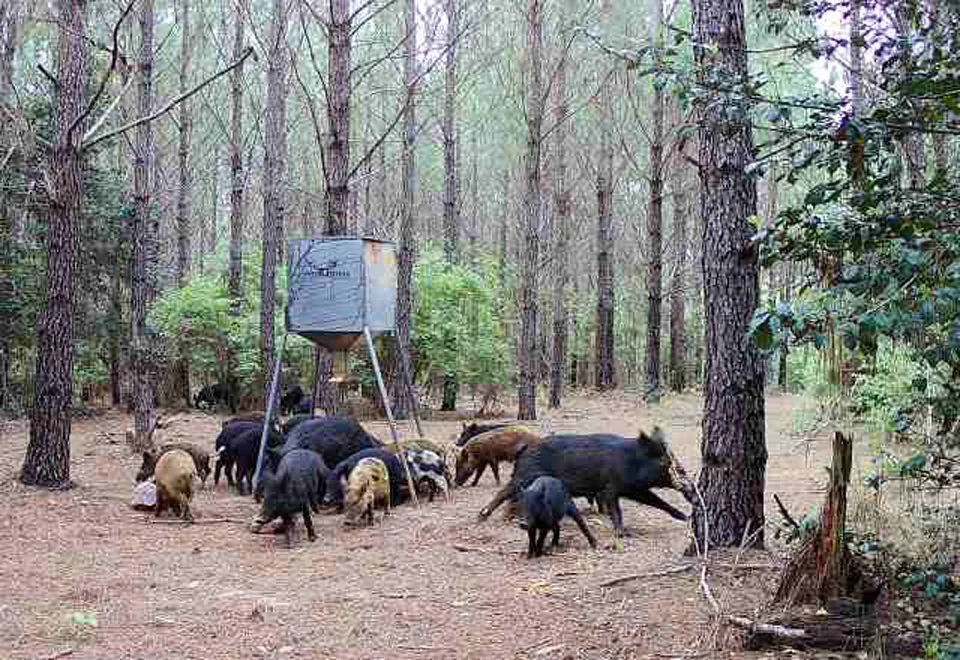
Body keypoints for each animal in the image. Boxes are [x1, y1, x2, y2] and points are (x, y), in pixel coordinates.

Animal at [478, 427, 696, 537]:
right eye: (665, 462)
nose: (689, 482)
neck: (631, 461)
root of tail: (523, 449)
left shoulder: (634, 489)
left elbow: (659, 502)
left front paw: (685, 517)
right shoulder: (610, 488)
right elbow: (616, 510)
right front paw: (622, 534)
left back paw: (507, 518)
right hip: (525, 475)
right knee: (504, 492)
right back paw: (483, 517)